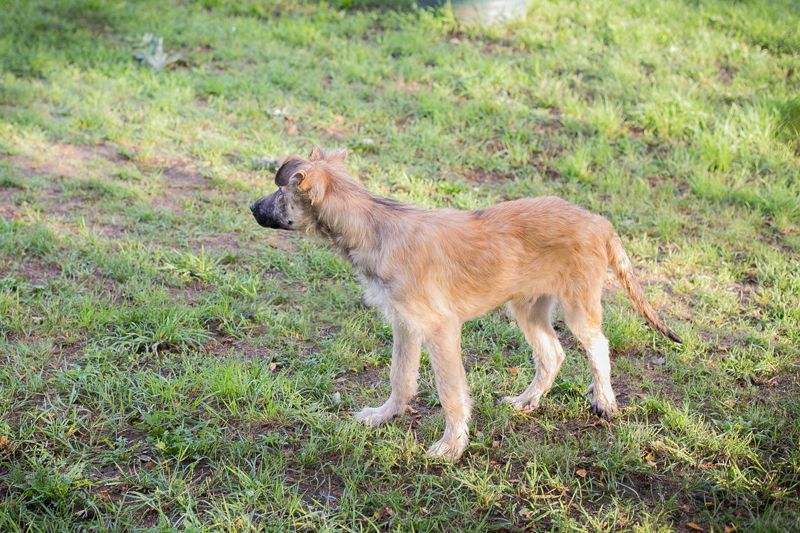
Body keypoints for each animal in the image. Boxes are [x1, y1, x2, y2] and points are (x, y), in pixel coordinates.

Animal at [250, 147, 682, 460]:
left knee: (598, 347)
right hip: (527, 308)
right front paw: (385, 415)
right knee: (552, 354)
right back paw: (527, 402)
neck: (375, 225)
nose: (252, 208)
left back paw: (604, 402)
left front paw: (451, 446)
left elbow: (450, 392)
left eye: (280, 192)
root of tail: (599, 221)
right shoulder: (405, 324)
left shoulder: (441, 329)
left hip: (578, 307)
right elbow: (401, 378)